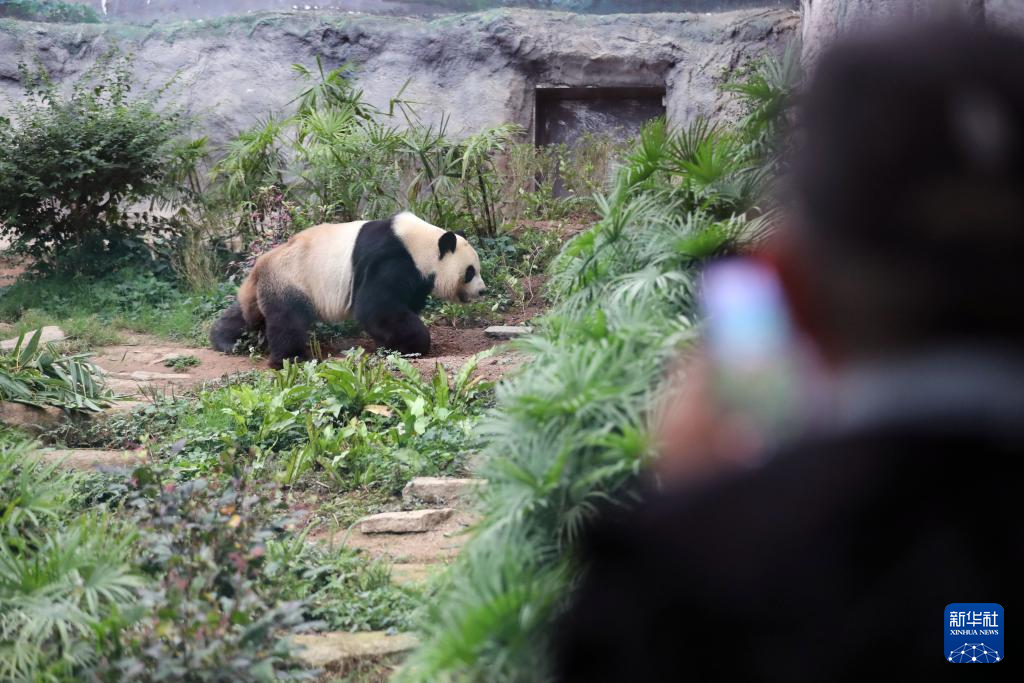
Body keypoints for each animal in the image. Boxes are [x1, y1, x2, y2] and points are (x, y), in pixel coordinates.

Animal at [208, 211, 487, 368]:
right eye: (470, 271)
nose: (483, 291)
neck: (420, 244)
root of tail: (260, 266)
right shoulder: (392, 260)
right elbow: (376, 308)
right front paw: (412, 345)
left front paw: (390, 343)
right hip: (291, 279)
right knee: (288, 320)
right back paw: (291, 358)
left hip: (266, 288)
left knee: (246, 316)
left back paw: (225, 340)